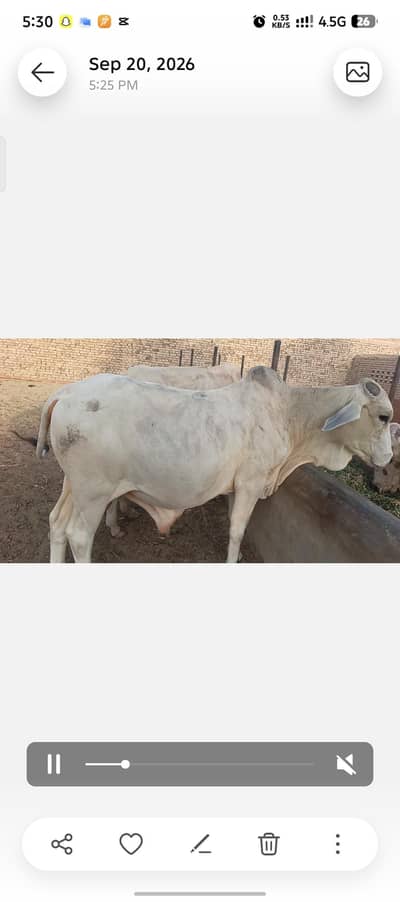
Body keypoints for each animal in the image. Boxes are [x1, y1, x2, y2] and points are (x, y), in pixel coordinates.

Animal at [35, 368, 393, 563]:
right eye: (384, 417)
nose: (388, 459)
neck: (288, 413)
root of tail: (66, 393)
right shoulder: (250, 483)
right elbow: (237, 530)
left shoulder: (236, 486)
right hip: (94, 493)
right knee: (79, 536)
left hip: (74, 486)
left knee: (56, 523)